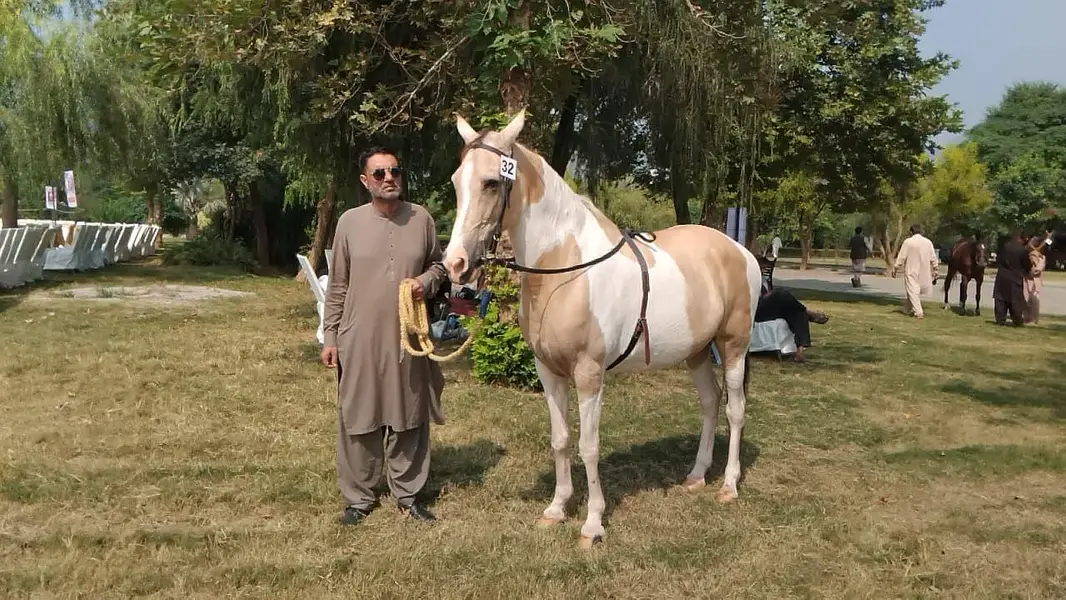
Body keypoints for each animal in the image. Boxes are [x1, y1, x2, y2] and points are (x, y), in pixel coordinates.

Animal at [440, 111, 763, 549]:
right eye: (457, 180)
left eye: (491, 182)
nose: (454, 263)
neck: (565, 268)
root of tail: (740, 251)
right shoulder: (549, 372)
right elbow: (560, 440)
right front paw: (557, 509)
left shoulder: (589, 374)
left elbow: (588, 445)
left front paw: (592, 524)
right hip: (696, 352)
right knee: (710, 404)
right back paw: (697, 475)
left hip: (733, 346)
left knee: (735, 410)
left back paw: (728, 486)